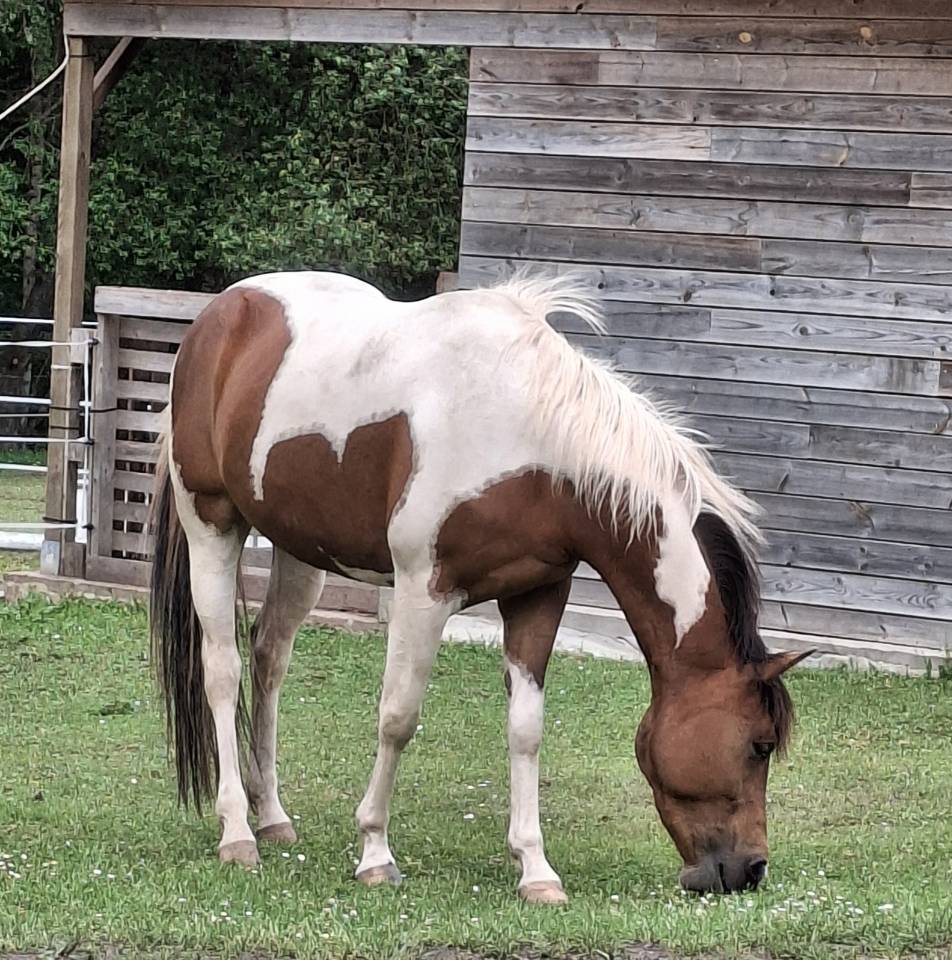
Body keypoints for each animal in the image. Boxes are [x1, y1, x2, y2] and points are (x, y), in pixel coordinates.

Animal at [149, 270, 811, 904]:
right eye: (758, 745)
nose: (749, 870)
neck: (532, 442)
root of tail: (222, 312)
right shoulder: (423, 592)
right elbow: (398, 717)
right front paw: (375, 854)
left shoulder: (537, 596)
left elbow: (526, 729)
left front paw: (536, 870)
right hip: (212, 522)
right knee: (223, 668)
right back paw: (238, 831)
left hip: (298, 548)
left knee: (269, 658)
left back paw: (273, 817)